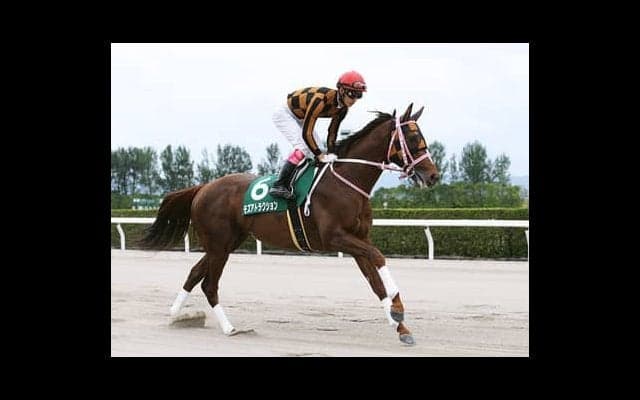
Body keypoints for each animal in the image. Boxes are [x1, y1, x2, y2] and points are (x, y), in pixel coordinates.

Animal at [140, 103, 439, 345]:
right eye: (413, 137)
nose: (433, 175)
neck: (346, 182)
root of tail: (203, 188)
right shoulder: (335, 237)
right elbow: (379, 257)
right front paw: (397, 309)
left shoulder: (358, 240)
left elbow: (375, 282)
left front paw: (400, 327)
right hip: (219, 244)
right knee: (209, 285)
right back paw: (229, 328)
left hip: (225, 243)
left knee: (194, 274)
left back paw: (175, 314)